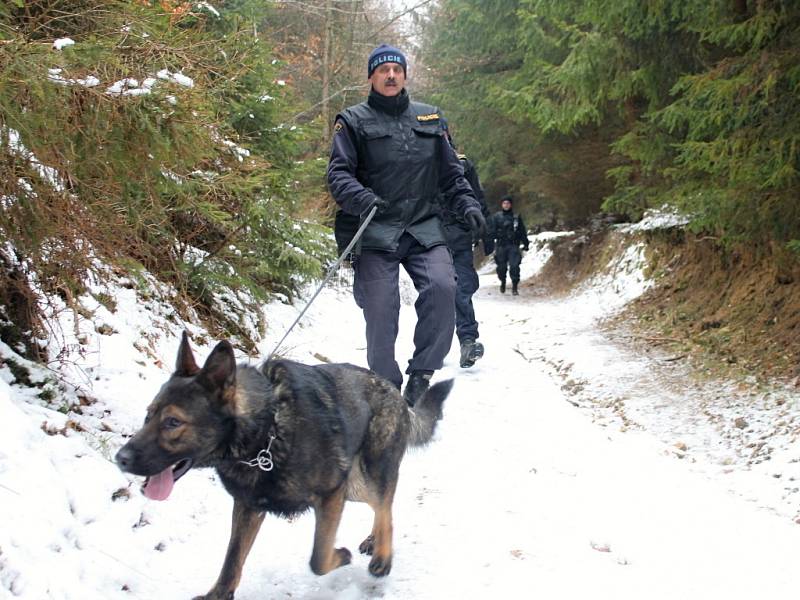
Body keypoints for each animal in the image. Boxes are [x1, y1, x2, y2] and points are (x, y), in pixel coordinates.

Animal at [115, 332, 450, 600]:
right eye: (148, 416)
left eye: (173, 422)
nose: (120, 458)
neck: (265, 431)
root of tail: (393, 390)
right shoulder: (248, 507)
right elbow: (232, 560)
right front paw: (218, 596)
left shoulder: (331, 494)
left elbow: (319, 558)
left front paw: (340, 555)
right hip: (354, 486)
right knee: (381, 506)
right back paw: (373, 541)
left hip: (364, 476)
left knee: (385, 507)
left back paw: (382, 556)